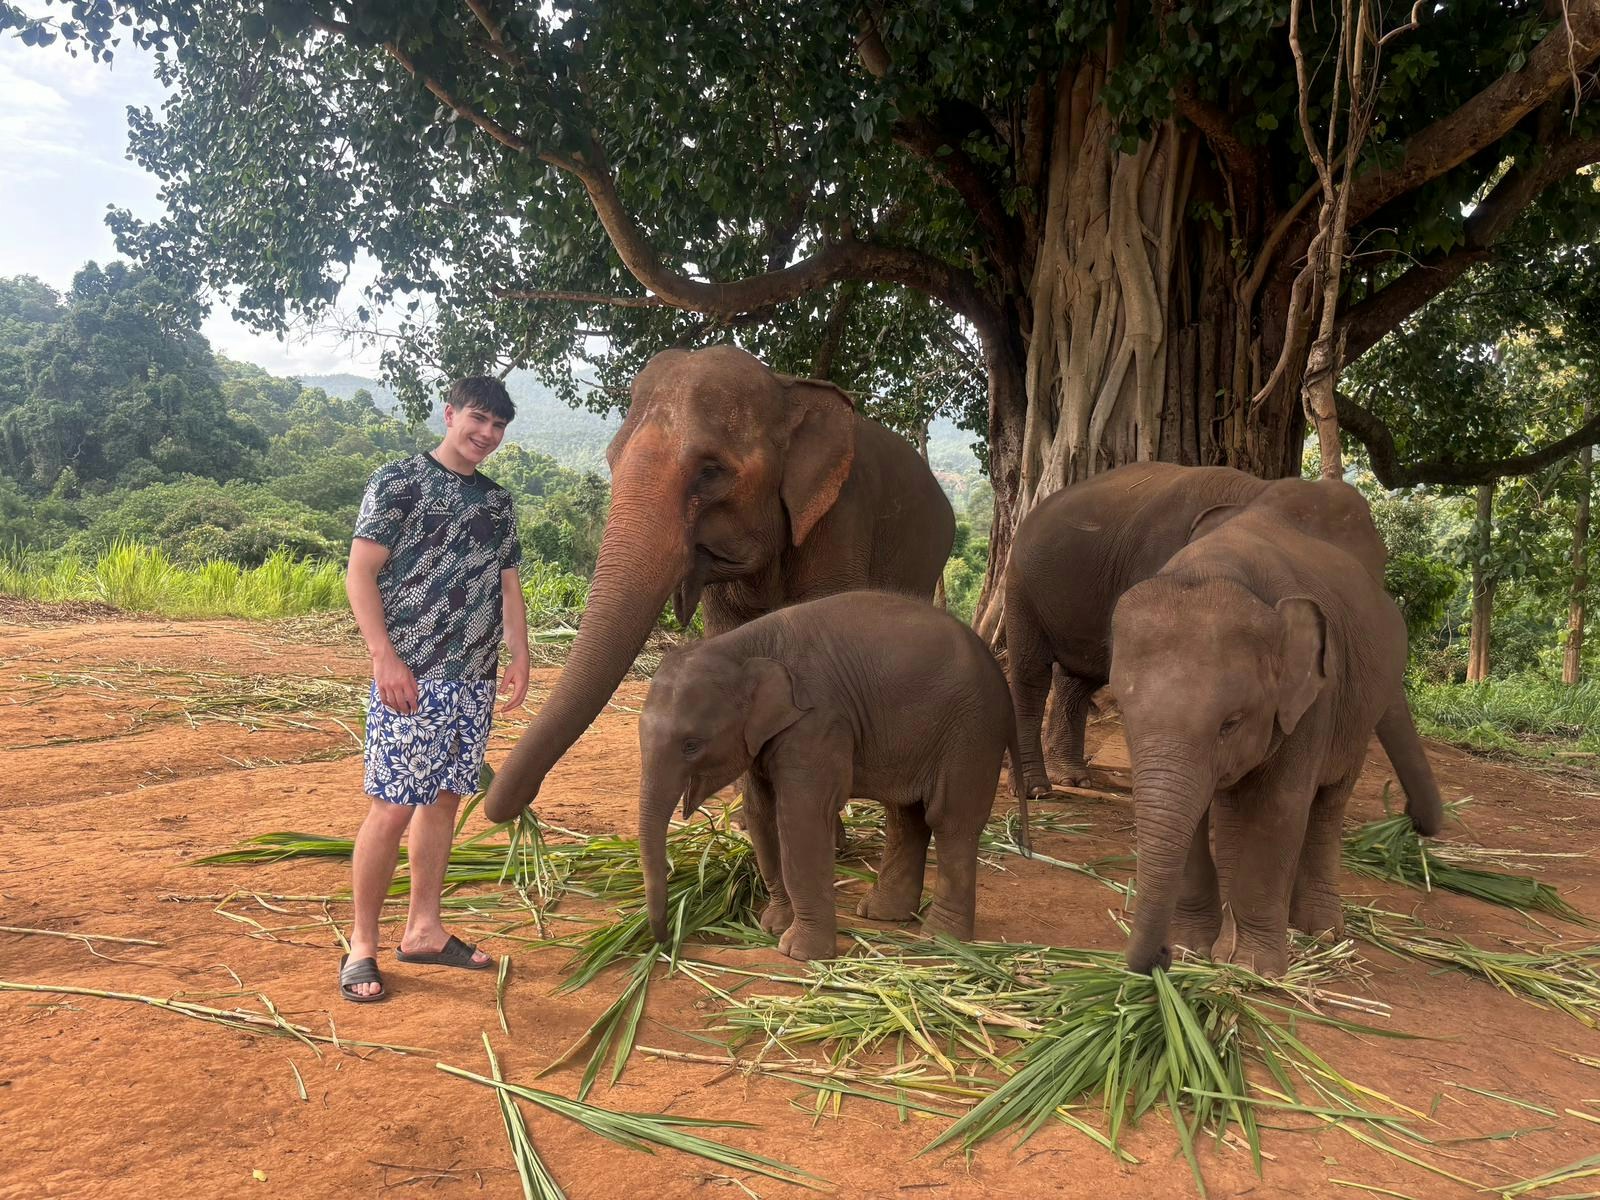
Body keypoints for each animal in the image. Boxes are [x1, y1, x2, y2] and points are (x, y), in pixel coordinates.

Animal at [484, 345, 955, 824]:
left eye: (710, 471)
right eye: (612, 459)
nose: (511, 808)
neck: (784, 385)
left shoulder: (840, 518)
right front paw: (750, 820)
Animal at [636, 591, 1025, 961]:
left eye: (691, 745)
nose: (666, 940)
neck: (743, 645)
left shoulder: (818, 722)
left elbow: (801, 816)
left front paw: (797, 951)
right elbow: (761, 813)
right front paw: (773, 926)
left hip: (972, 732)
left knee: (949, 820)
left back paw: (941, 939)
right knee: (907, 816)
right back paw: (882, 915)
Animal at [1003, 462, 1442, 837]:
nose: (1413, 822)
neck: (1256, 489)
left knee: (1077, 679)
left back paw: (1074, 777)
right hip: (1020, 582)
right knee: (1031, 675)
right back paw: (1037, 789)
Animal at [1112, 500, 1412, 976]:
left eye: (1231, 722)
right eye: (1121, 710)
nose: (1160, 956)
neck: (1219, 566)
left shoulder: (1315, 698)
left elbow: (1279, 806)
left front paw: (1252, 968)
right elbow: (1196, 810)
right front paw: (1194, 949)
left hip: (1362, 712)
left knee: (1329, 802)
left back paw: (1321, 932)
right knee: (1236, 806)